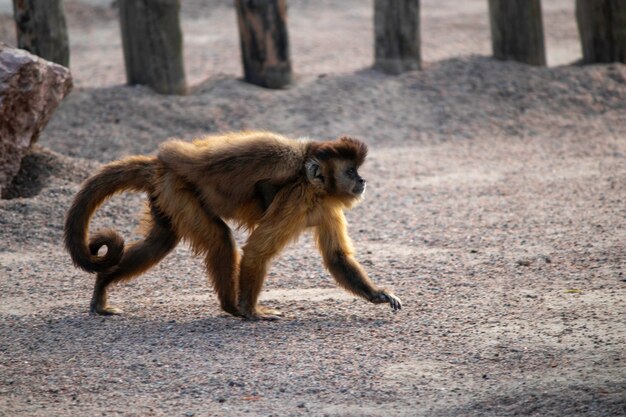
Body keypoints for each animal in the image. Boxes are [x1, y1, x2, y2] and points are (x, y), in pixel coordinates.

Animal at [63, 132, 402, 320]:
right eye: (350, 171)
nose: (362, 180)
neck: (314, 187)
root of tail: (160, 165)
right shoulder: (295, 197)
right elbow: (256, 252)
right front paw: (252, 311)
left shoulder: (327, 206)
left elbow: (337, 258)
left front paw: (377, 295)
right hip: (178, 187)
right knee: (219, 239)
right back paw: (232, 307)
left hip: (166, 194)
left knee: (161, 241)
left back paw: (102, 285)